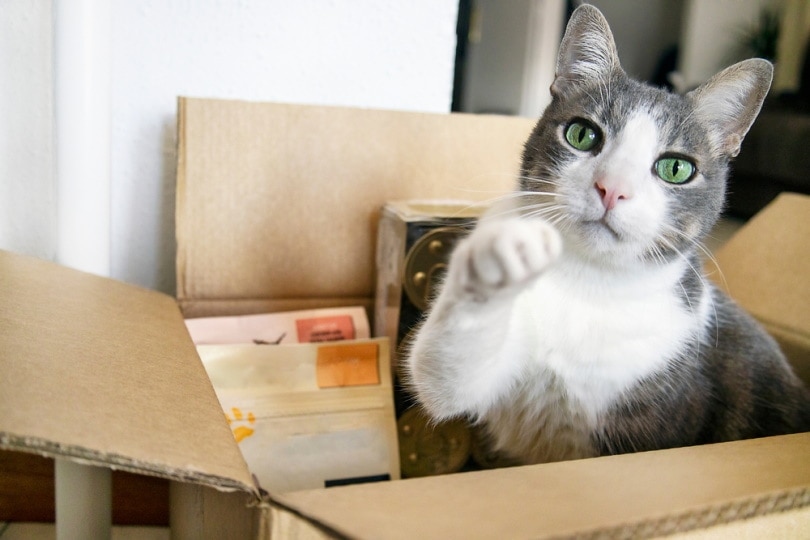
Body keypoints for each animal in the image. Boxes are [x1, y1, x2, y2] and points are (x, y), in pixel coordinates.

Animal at [404, 4, 808, 464]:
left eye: (676, 168)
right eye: (582, 134)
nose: (612, 188)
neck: (588, 282)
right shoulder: (479, 377)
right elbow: (443, 376)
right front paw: (501, 256)